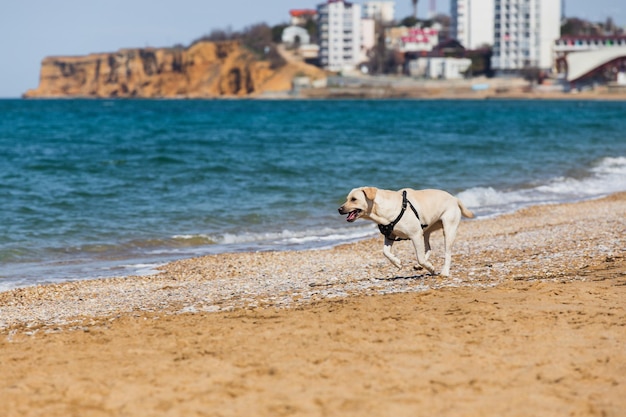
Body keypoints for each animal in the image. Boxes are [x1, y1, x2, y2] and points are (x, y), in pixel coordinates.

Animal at [338, 187, 470, 274]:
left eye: (354, 199)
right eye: (347, 199)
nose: (339, 209)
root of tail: (454, 198)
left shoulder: (415, 235)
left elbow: (420, 258)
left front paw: (430, 268)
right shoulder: (390, 235)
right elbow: (385, 252)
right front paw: (397, 262)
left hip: (448, 229)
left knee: (447, 252)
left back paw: (444, 271)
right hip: (425, 231)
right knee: (428, 248)